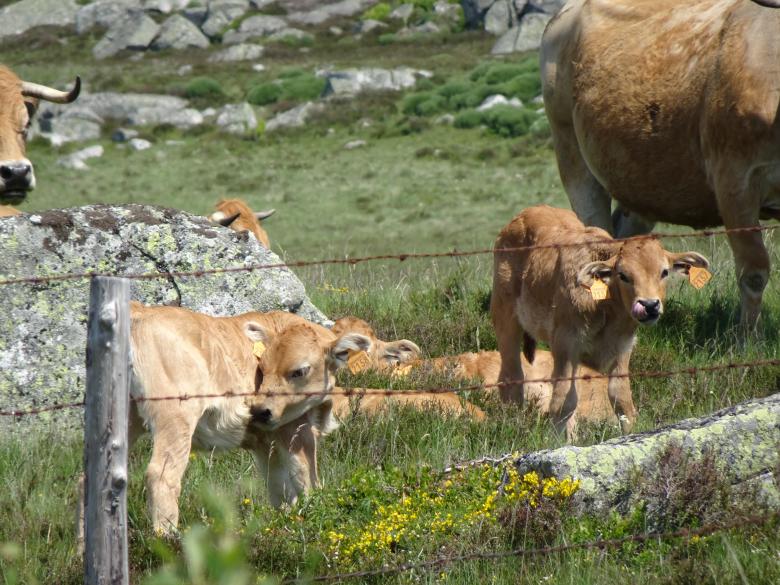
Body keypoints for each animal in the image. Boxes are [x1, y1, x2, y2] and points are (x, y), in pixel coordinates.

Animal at [490, 205, 709, 439]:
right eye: (623, 275)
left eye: (664, 272)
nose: (649, 305)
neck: (607, 309)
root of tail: (525, 214)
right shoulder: (565, 345)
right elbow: (562, 403)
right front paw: (559, 441)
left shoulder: (623, 347)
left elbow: (620, 399)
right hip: (505, 319)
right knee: (511, 377)